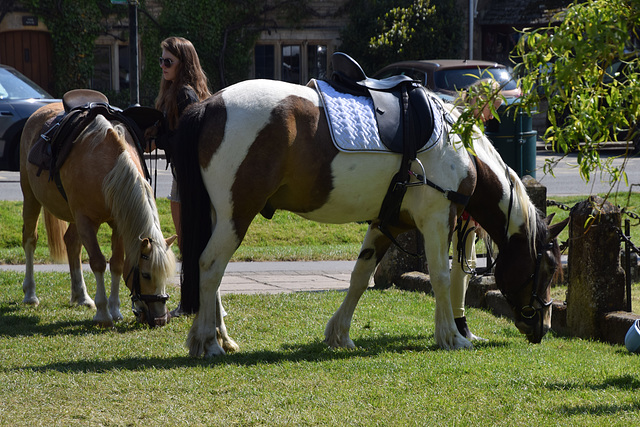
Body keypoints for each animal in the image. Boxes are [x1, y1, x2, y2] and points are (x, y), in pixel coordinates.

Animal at [19, 101, 176, 328]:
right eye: (146, 275)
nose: (161, 319)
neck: (107, 169)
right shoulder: (86, 220)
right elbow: (98, 263)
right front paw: (103, 314)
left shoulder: (118, 223)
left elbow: (117, 264)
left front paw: (115, 310)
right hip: (31, 196)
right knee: (30, 239)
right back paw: (30, 294)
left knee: (72, 242)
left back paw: (82, 296)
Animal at [172, 77, 568, 358]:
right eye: (547, 268)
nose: (544, 326)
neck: (460, 150)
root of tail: (211, 103)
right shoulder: (438, 219)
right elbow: (441, 277)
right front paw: (453, 336)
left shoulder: (385, 222)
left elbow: (360, 276)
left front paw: (340, 334)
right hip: (236, 214)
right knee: (209, 266)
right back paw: (207, 341)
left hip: (219, 216)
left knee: (213, 273)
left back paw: (222, 337)